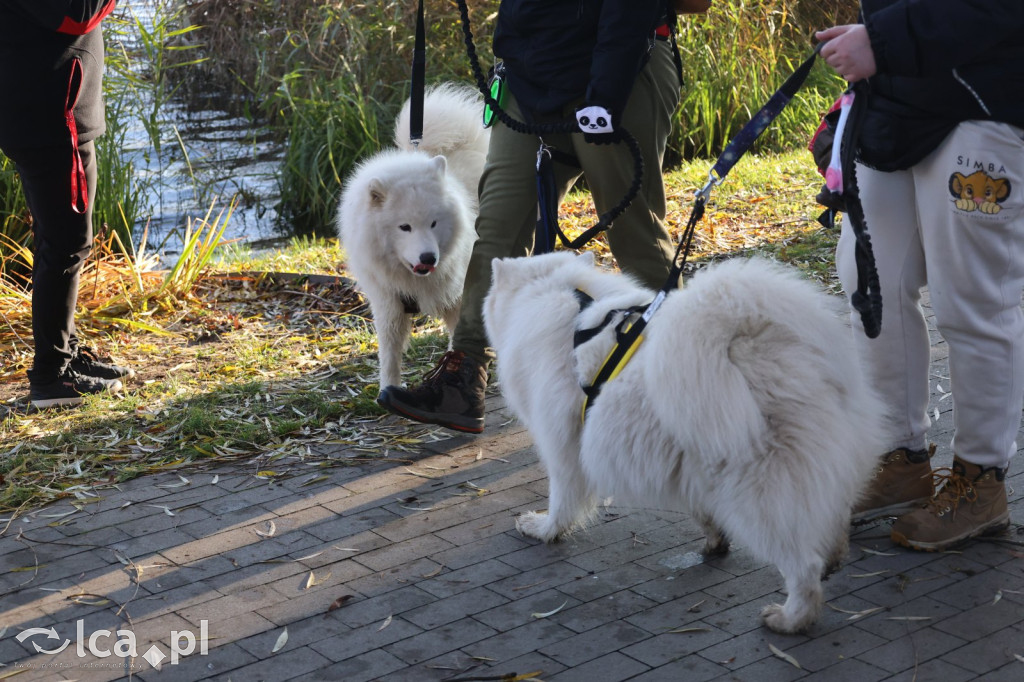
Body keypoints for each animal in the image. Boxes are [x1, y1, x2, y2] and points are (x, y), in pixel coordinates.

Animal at [335, 83, 487, 387]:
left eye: (433, 223)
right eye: (404, 227)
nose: (428, 258)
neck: (413, 279)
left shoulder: (455, 296)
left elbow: (458, 340)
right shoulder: (388, 304)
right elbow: (390, 355)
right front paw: (389, 389)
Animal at [483, 250, 884, 630]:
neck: (563, 292)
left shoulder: (562, 448)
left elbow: (561, 501)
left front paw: (542, 529)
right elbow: (701, 509)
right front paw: (715, 540)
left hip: (757, 492)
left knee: (802, 564)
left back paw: (791, 618)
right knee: (833, 515)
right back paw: (834, 557)